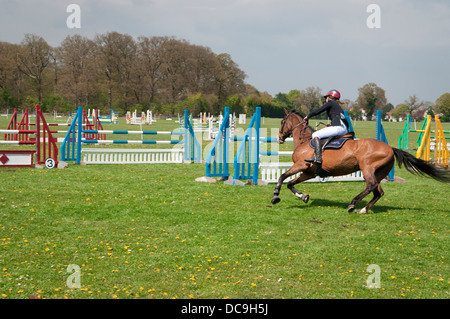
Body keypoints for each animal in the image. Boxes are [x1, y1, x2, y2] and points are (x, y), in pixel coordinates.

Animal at [270, 109, 450, 215]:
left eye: (282, 122)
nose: (279, 138)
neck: (305, 139)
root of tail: (390, 148)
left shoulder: (301, 165)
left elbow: (282, 177)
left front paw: (275, 196)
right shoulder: (309, 172)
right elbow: (290, 183)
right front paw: (303, 196)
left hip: (367, 169)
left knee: (371, 186)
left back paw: (352, 204)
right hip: (378, 172)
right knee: (378, 192)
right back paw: (363, 209)